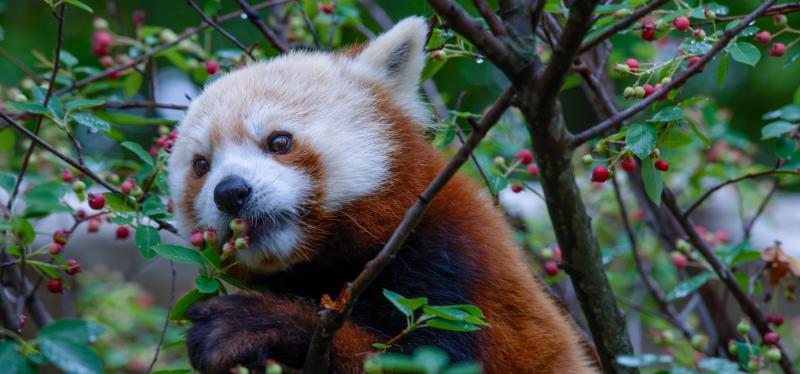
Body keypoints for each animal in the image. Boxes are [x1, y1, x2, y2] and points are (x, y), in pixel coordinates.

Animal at [167, 15, 592, 374]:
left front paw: (257, 323)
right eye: (201, 166)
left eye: (279, 141)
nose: (230, 192)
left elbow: (422, 357)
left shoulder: (454, 268)